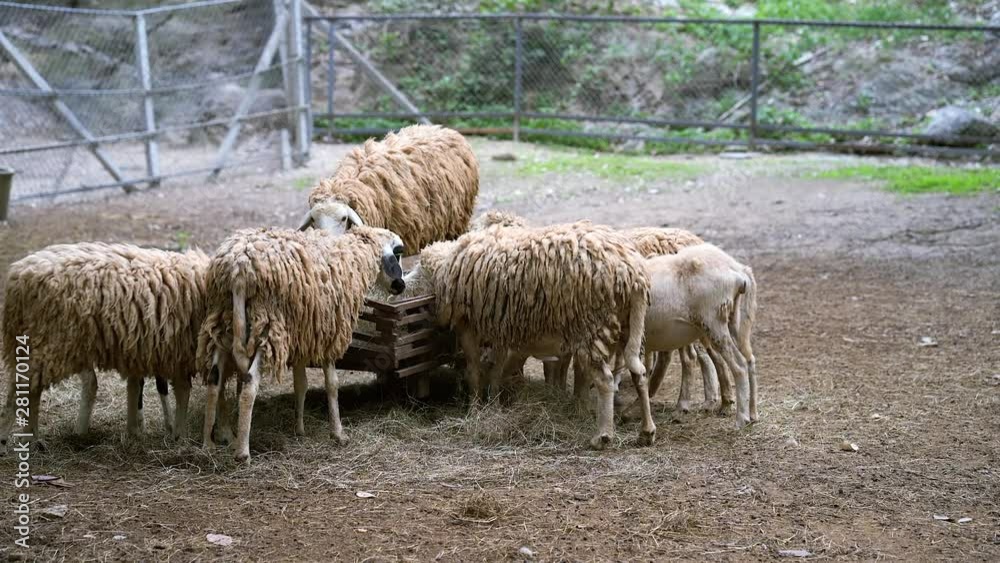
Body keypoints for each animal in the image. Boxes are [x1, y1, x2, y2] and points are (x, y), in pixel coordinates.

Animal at [0, 242, 232, 447]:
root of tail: (16, 278)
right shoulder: (179, 355)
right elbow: (184, 393)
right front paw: (180, 436)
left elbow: (136, 389)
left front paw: (136, 432)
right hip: (50, 343)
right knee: (20, 391)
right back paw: (7, 441)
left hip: (38, 346)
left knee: (32, 391)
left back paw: (33, 439)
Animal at [197, 221, 407, 461]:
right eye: (397, 254)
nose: (401, 285)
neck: (353, 257)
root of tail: (238, 271)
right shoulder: (330, 333)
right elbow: (331, 384)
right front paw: (338, 433)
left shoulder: (303, 336)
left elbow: (301, 383)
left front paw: (299, 429)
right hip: (268, 328)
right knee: (249, 386)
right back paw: (242, 452)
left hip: (221, 324)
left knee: (213, 382)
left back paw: (207, 446)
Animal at [402, 221, 655, 449]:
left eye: (420, 271)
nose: (401, 286)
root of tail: (633, 275)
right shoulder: (499, 329)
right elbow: (495, 372)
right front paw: (494, 406)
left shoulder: (469, 327)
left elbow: (474, 372)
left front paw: (473, 410)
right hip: (630, 326)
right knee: (639, 373)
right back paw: (646, 432)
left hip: (592, 327)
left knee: (605, 380)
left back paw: (602, 436)